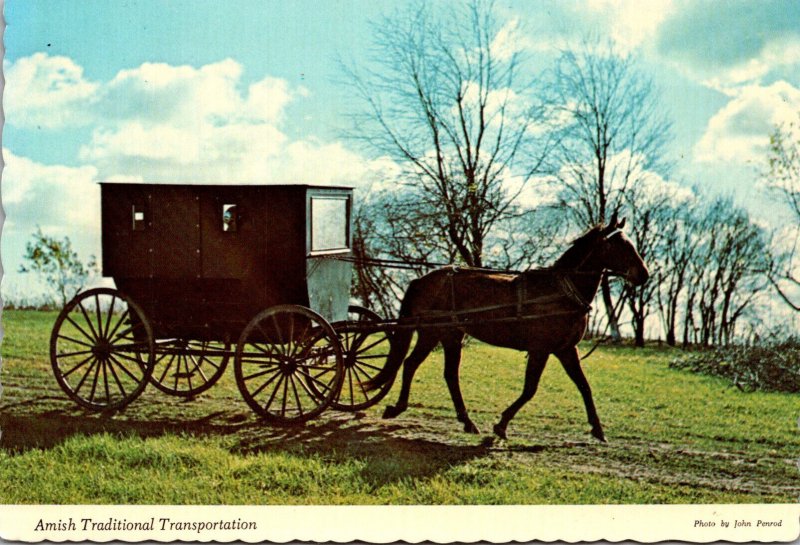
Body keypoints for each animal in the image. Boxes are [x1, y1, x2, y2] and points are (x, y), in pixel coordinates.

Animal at [366, 215, 648, 440]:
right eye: (618, 245)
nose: (643, 275)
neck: (560, 291)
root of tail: (423, 280)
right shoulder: (540, 350)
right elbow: (530, 389)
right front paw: (501, 425)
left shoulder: (566, 350)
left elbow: (584, 386)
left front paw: (598, 429)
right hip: (434, 332)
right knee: (415, 365)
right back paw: (403, 408)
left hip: (446, 335)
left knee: (433, 371)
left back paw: (459, 420)